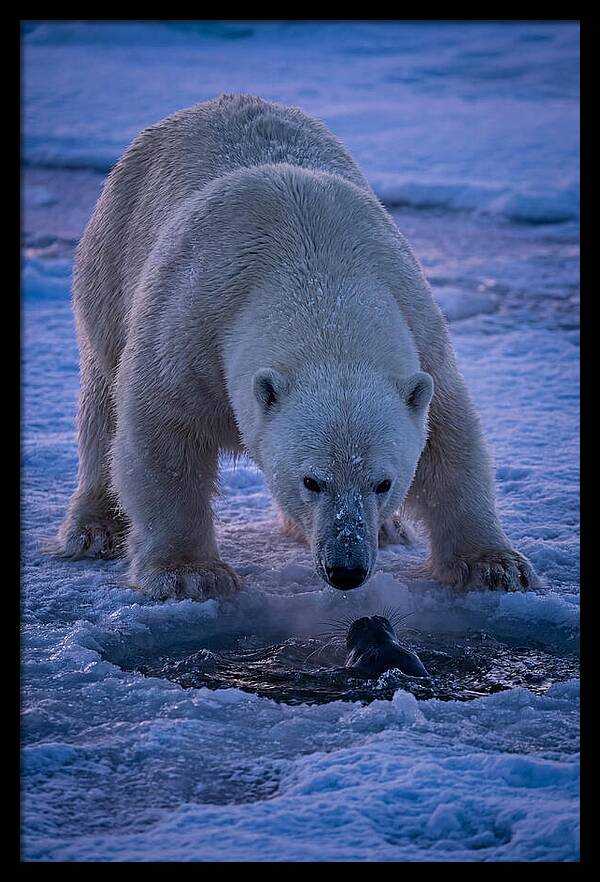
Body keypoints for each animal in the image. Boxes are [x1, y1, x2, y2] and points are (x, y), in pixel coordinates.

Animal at [53, 93, 539, 599]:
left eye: (383, 482)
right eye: (312, 481)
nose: (347, 569)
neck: (316, 271)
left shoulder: (420, 329)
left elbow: (450, 440)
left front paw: (496, 566)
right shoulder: (189, 327)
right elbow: (163, 438)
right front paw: (190, 573)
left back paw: (389, 530)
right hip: (110, 261)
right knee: (102, 401)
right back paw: (94, 528)